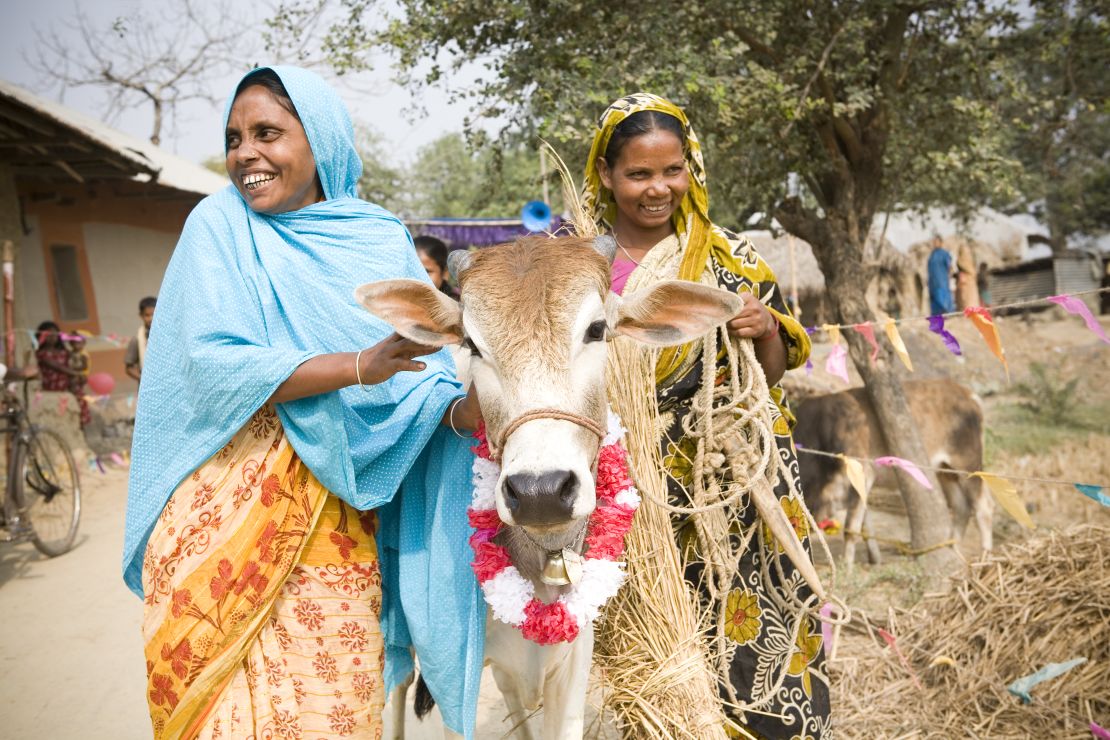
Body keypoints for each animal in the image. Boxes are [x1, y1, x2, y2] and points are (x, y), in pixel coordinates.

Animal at [794, 379, 994, 572]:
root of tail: (968, 394)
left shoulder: (862, 472)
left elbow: (851, 527)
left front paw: (847, 567)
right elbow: (865, 524)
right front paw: (874, 558)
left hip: (967, 464)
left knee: (983, 508)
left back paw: (985, 558)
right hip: (945, 471)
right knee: (961, 507)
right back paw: (953, 550)